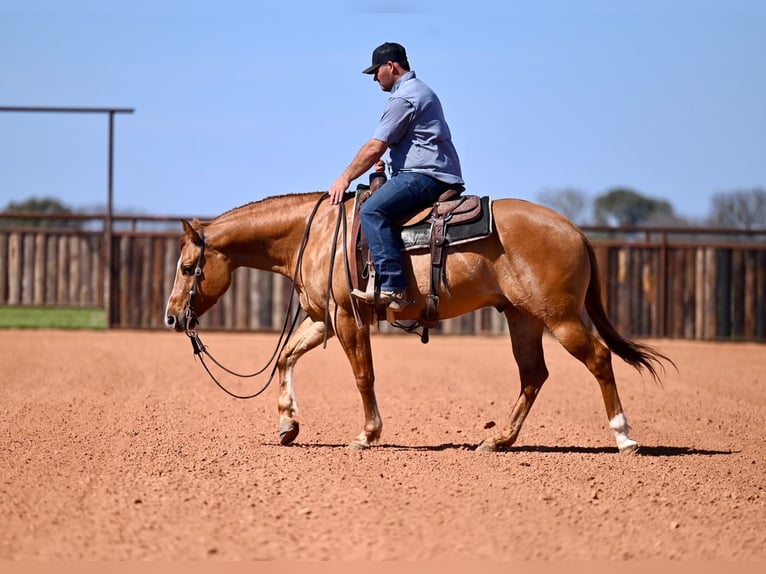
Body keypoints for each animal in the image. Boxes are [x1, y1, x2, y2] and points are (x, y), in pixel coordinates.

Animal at [164, 192, 672, 454]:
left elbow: (364, 375)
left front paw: (367, 435)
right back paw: (499, 441)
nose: (171, 316)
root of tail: (575, 230)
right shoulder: (324, 318)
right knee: (533, 375)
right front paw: (288, 424)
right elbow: (286, 358)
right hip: (523, 318)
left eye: (188, 268)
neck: (319, 234)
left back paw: (625, 437)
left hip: (560, 317)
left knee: (599, 358)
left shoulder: (347, 317)